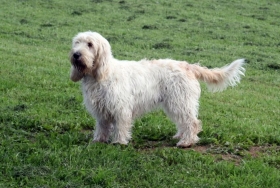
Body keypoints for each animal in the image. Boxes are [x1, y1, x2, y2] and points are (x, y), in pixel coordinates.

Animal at [69, 30, 245, 148]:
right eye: (76, 43)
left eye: (90, 44)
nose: (76, 55)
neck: (101, 74)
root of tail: (187, 65)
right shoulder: (101, 110)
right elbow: (102, 126)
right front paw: (98, 140)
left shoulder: (120, 108)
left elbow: (120, 126)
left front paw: (119, 142)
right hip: (174, 103)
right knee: (184, 122)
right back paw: (180, 136)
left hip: (180, 101)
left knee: (193, 122)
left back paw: (186, 142)